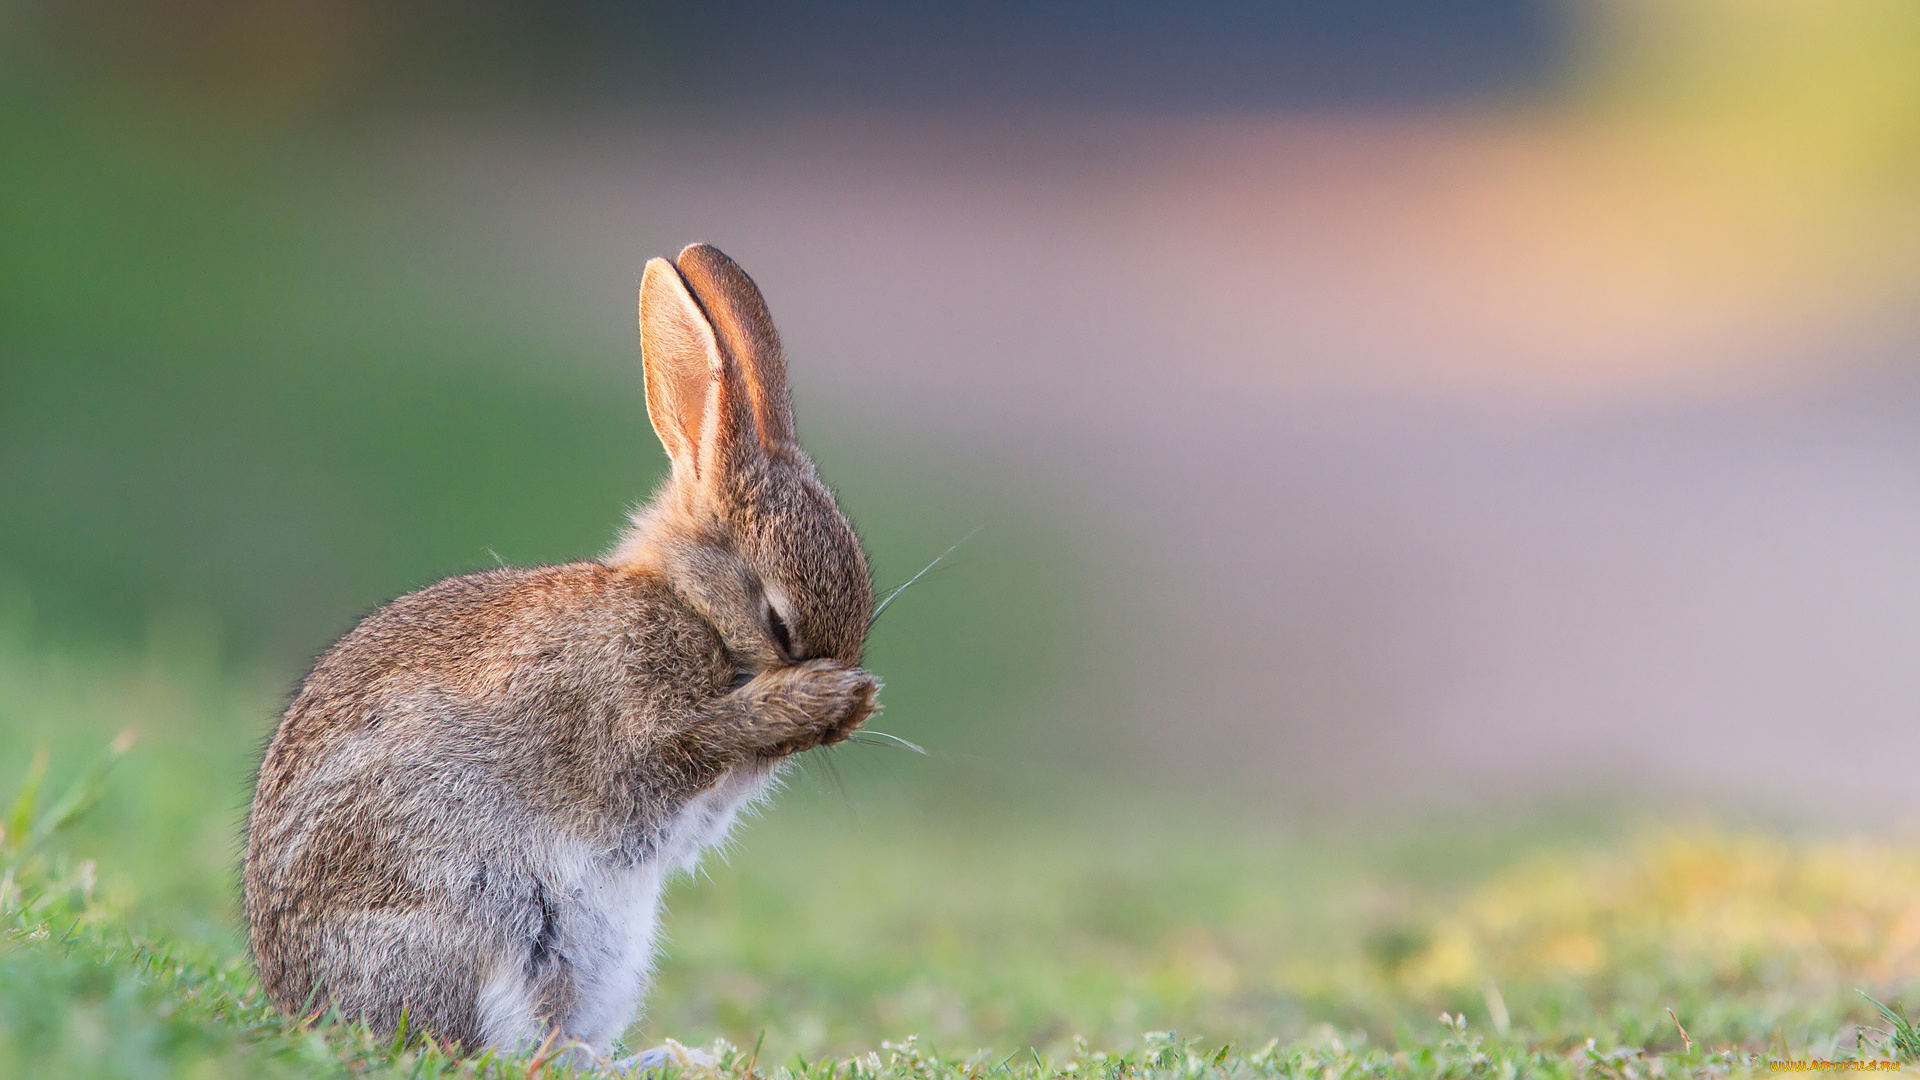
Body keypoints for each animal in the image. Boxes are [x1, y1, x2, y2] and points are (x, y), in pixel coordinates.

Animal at [247, 244, 883, 1060]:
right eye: (778, 623)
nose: (845, 717)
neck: (691, 606)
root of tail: (307, 1006)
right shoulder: (637, 725)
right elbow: (688, 743)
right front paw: (822, 698)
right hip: (490, 921)